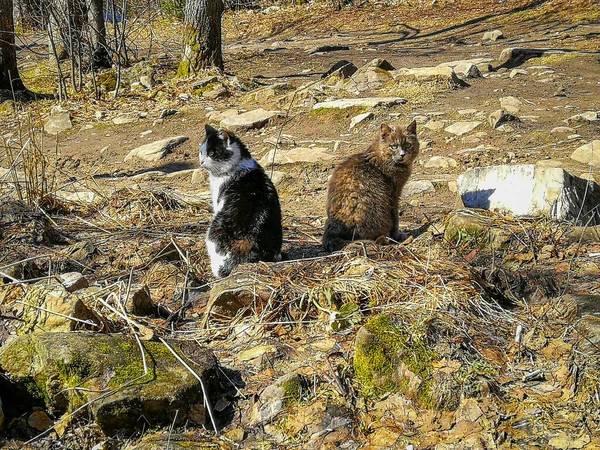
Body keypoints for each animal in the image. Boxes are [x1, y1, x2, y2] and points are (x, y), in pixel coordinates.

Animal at [200, 124, 282, 278]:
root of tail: (249, 242)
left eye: (212, 153)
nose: (201, 162)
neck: (237, 165)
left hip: (214, 230)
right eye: (201, 152)